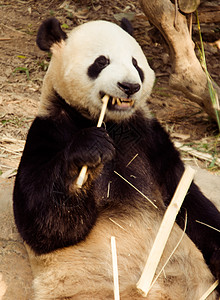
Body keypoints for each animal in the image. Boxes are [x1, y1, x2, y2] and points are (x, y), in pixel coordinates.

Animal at [12, 17, 219, 298]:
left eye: (136, 63)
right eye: (101, 62)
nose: (129, 87)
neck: (112, 124)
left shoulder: (151, 138)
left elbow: (189, 201)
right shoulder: (47, 132)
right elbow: (43, 223)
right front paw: (89, 152)